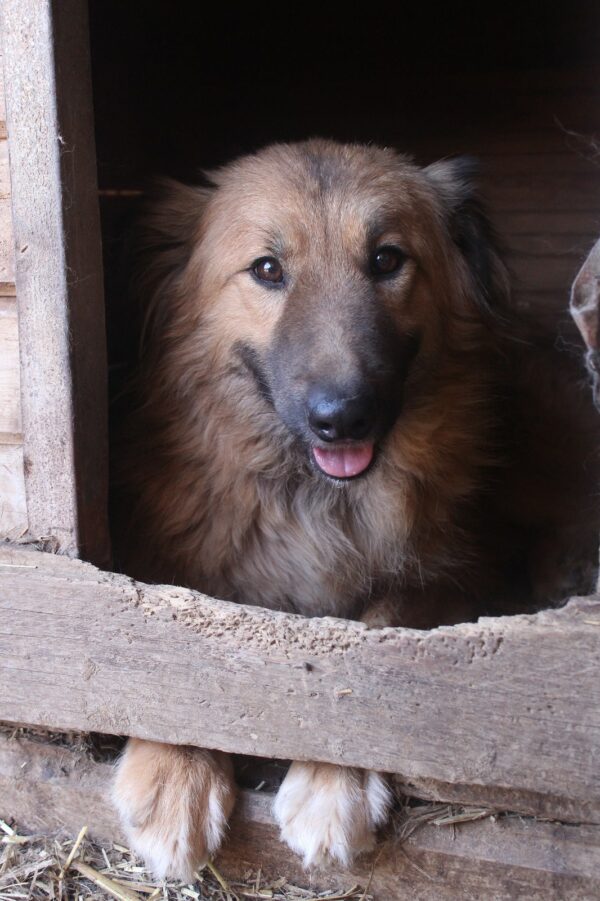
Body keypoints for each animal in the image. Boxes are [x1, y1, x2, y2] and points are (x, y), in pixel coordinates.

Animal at [111, 141, 600, 880]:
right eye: (267, 268)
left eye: (386, 259)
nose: (343, 418)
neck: (315, 503)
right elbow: (165, 633)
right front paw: (174, 771)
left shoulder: (450, 576)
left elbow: (365, 650)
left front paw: (331, 780)